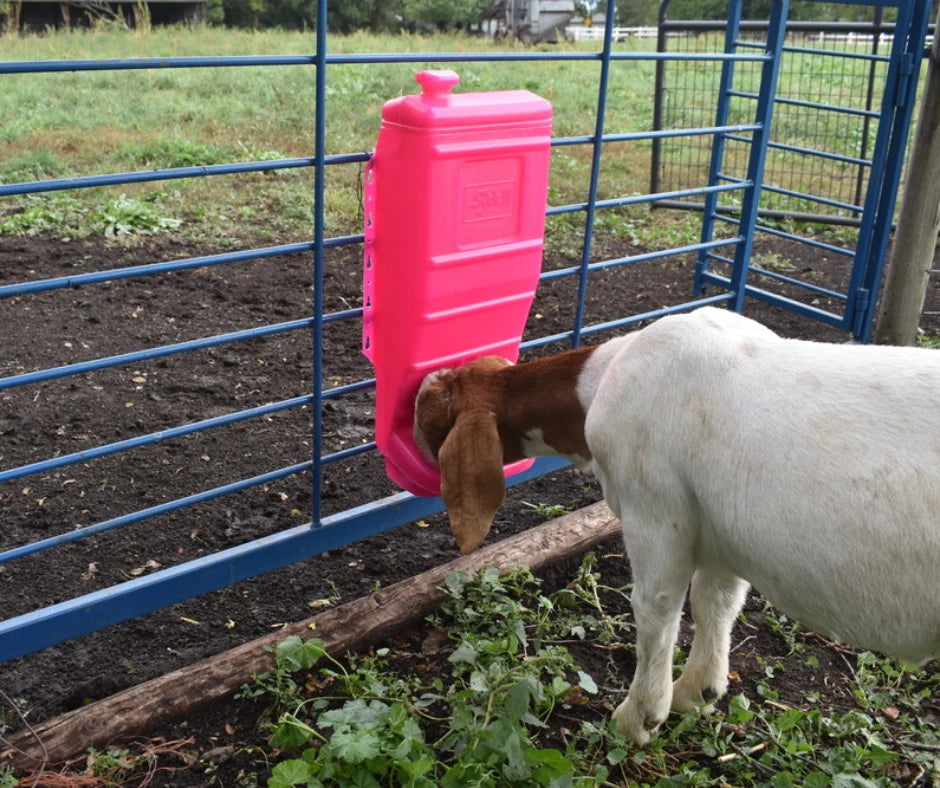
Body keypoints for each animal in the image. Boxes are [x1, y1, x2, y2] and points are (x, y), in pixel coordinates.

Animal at [413, 306, 940, 746]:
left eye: (434, 413)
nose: (412, 433)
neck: (601, 380)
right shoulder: (719, 526)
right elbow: (717, 602)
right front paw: (700, 690)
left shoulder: (655, 508)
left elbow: (656, 611)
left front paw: (640, 716)